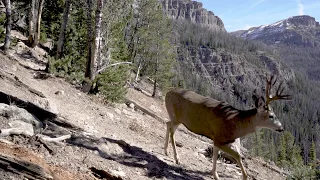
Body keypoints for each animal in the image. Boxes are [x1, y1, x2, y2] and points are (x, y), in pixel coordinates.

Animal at [164, 75, 292, 179]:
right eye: (271, 116)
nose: (281, 128)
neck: (236, 124)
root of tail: (167, 92)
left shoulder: (221, 140)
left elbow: (217, 154)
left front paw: (214, 174)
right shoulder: (219, 138)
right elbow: (237, 156)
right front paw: (243, 177)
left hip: (175, 118)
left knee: (167, 124)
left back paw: (165, 151)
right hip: (176, 117)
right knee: (172, 131)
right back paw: (176, 158)